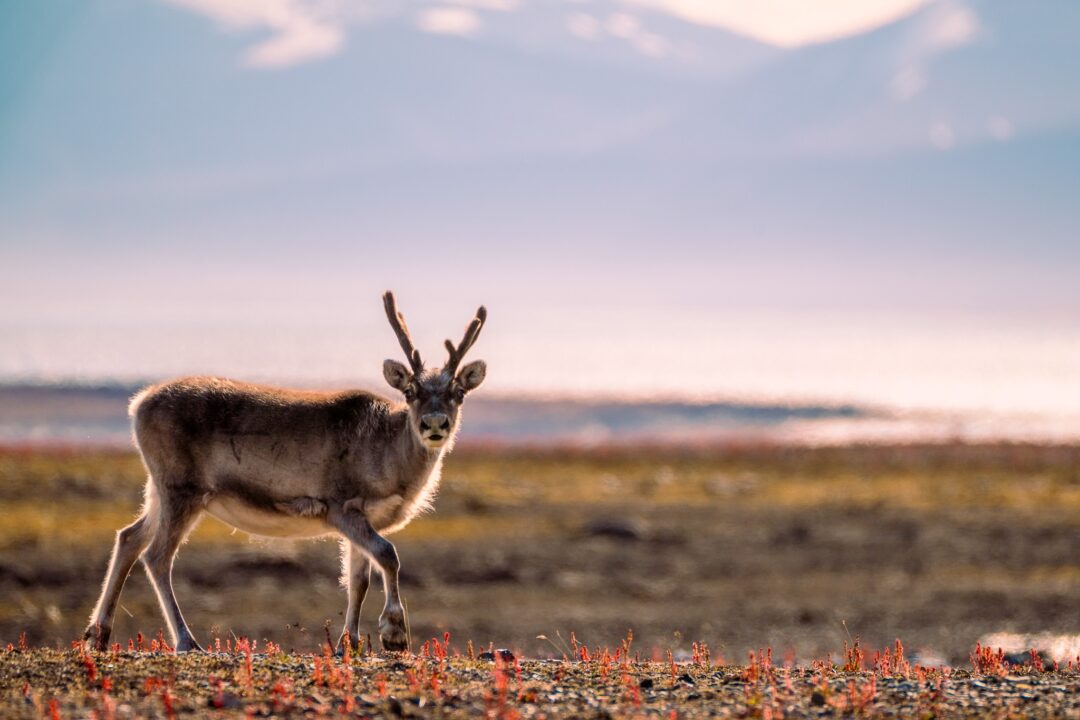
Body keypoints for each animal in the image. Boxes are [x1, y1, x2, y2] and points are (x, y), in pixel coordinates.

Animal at [83, 292, 487, 653]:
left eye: (458, 393)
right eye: (410, 391)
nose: (434, 424)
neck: (391, 458)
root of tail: (138, 404)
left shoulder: (365, 517)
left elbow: (358, 578)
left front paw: (350, 644)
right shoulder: (341, 506)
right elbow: (387, 554)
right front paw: (394, 634)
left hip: (158, 488)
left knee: (129, 537)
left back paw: (98, 634)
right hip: (182, 489)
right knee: (157, 556)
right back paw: (186, 641)